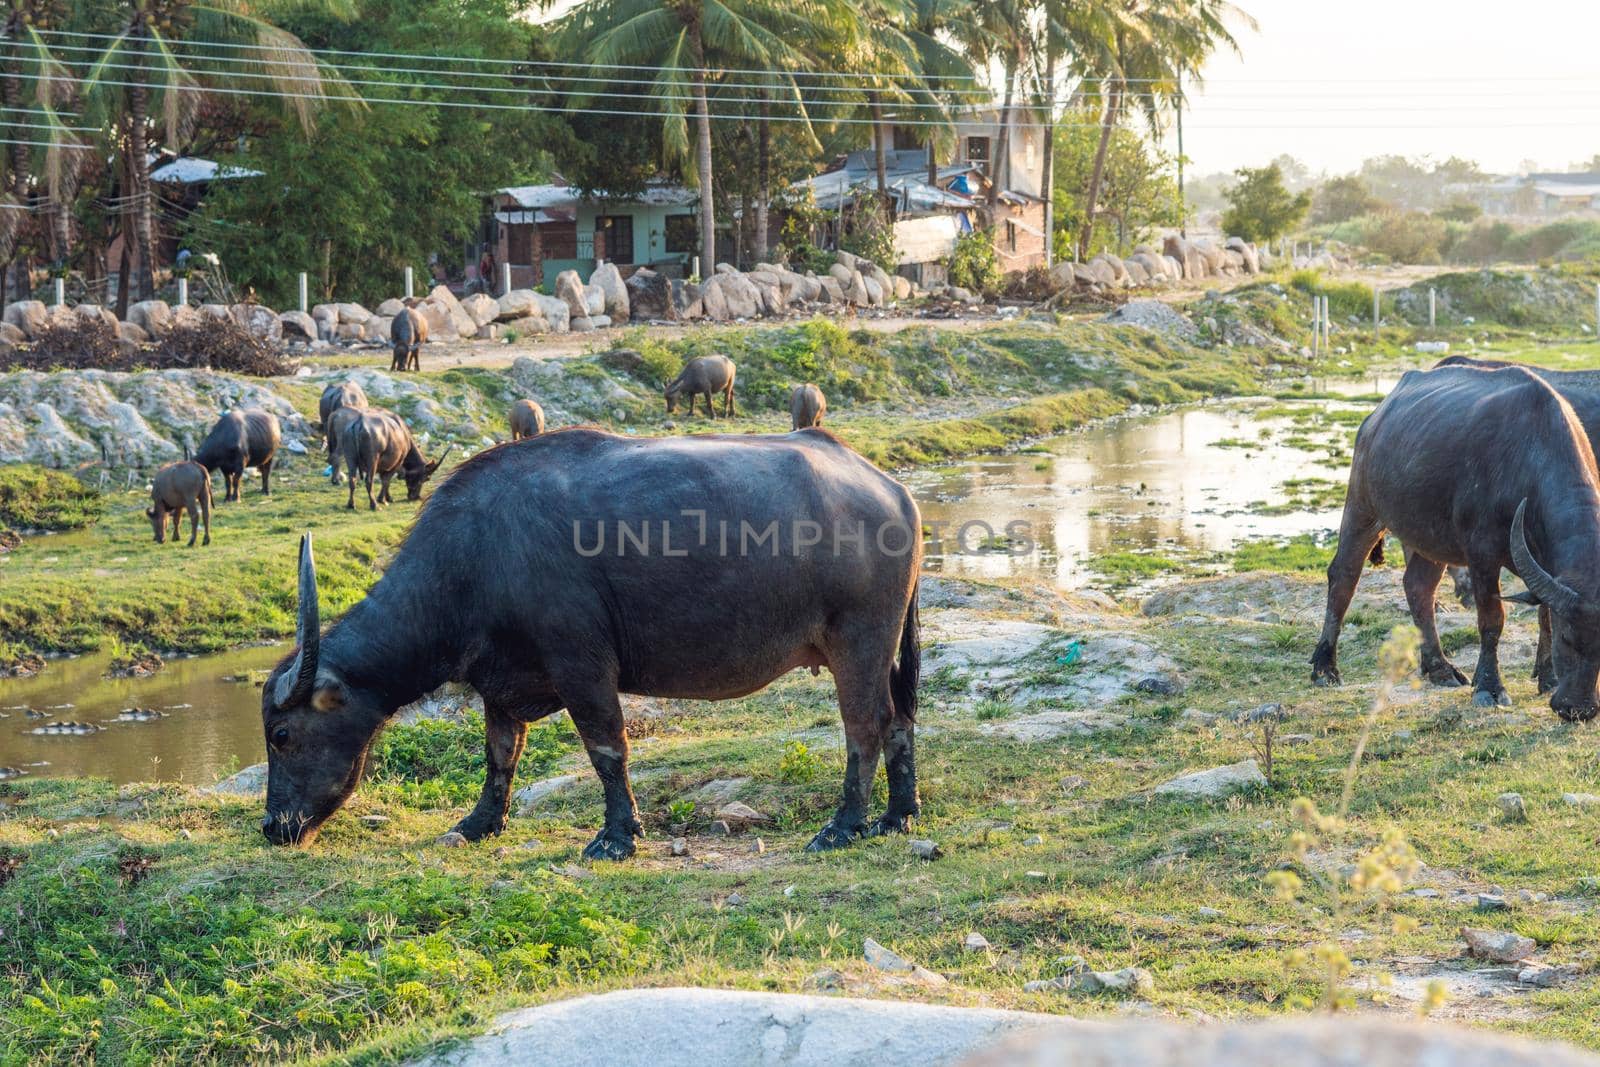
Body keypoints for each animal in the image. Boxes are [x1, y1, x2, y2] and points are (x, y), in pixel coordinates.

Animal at [256, 428, 921, 857]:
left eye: (282, 735)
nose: (273, 827)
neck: (473, 559)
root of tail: (890, 490)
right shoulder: (501, 682)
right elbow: (500, 755)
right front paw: (477, 824)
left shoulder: (582, 666)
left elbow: (607, 750)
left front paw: (617, 836)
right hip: (889, 647)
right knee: (902, 718)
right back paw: (897, 817)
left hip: (858, 641)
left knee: (865, 724)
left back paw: (842, 826)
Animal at [1312, 363, 1600, 723]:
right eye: (1568, 638)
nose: (1579, 708)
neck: (1528, 462)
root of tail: (1376, 417)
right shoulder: (1482, 555)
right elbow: (1492, 619)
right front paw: (1490, 687)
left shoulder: (1546, 564)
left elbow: (1544, 615)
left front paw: (1547, 678)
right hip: (1362, 506)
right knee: (1343, 577)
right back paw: (1324, 667)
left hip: (1430, 538)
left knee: (1418, 587)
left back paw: (1439, 668)